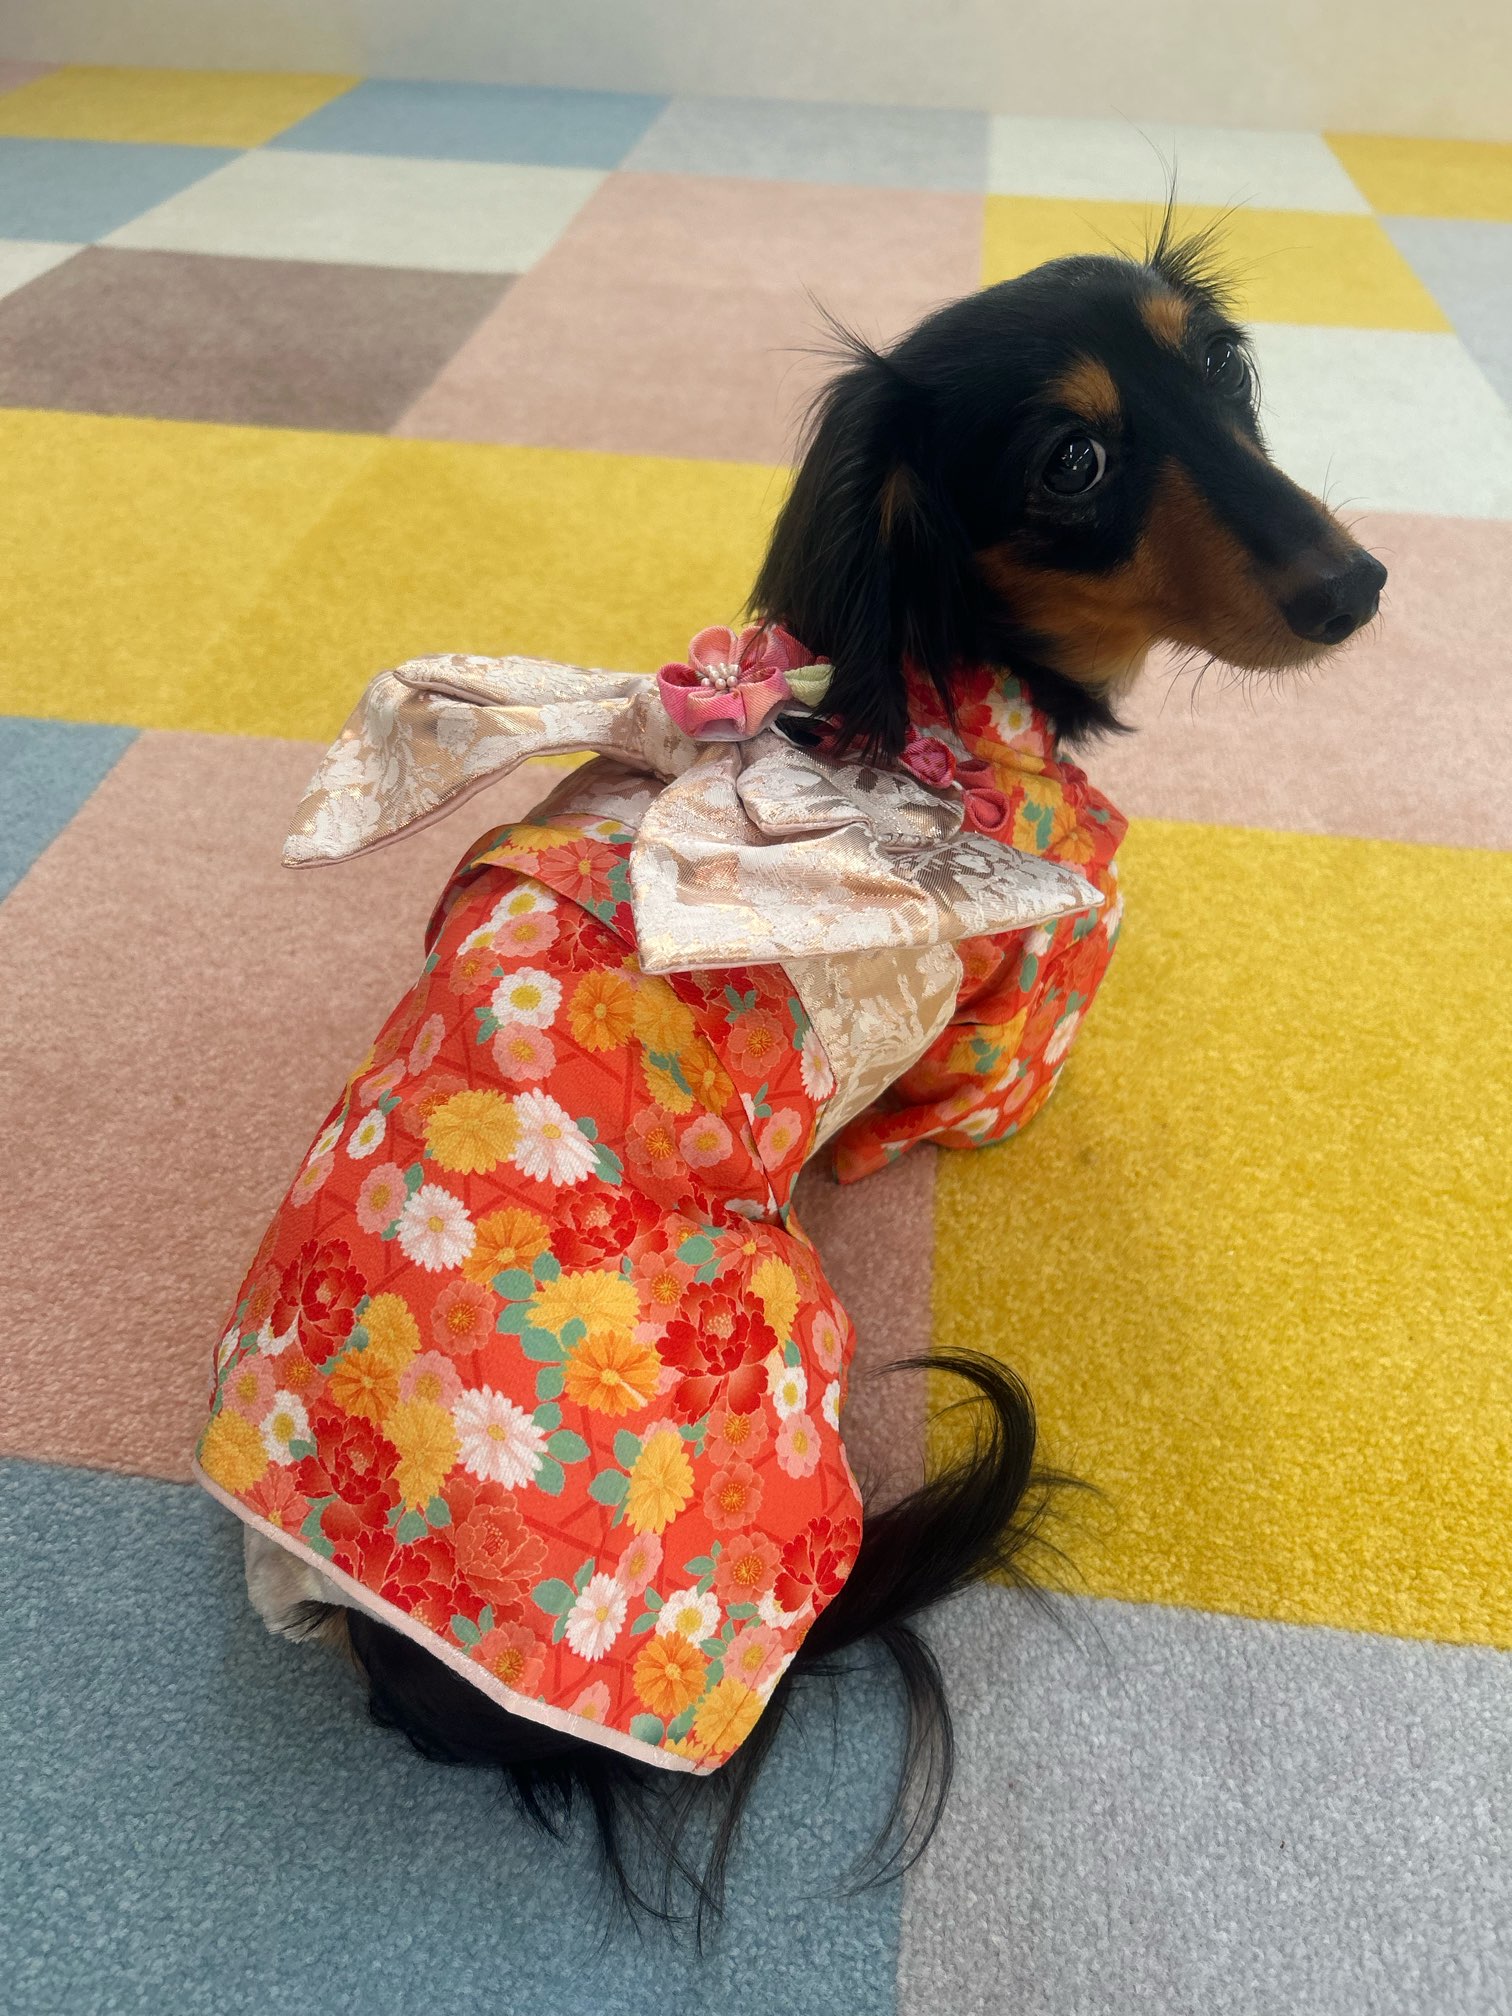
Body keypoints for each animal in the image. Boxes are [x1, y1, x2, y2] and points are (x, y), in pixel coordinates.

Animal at [200, 220, 1385, 1922]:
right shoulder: (1023, 1011)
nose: (1356, 586)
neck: (955, 682)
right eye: (1074, 459)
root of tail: (399, 1653)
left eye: (1222, 364)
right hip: (785, 1331)